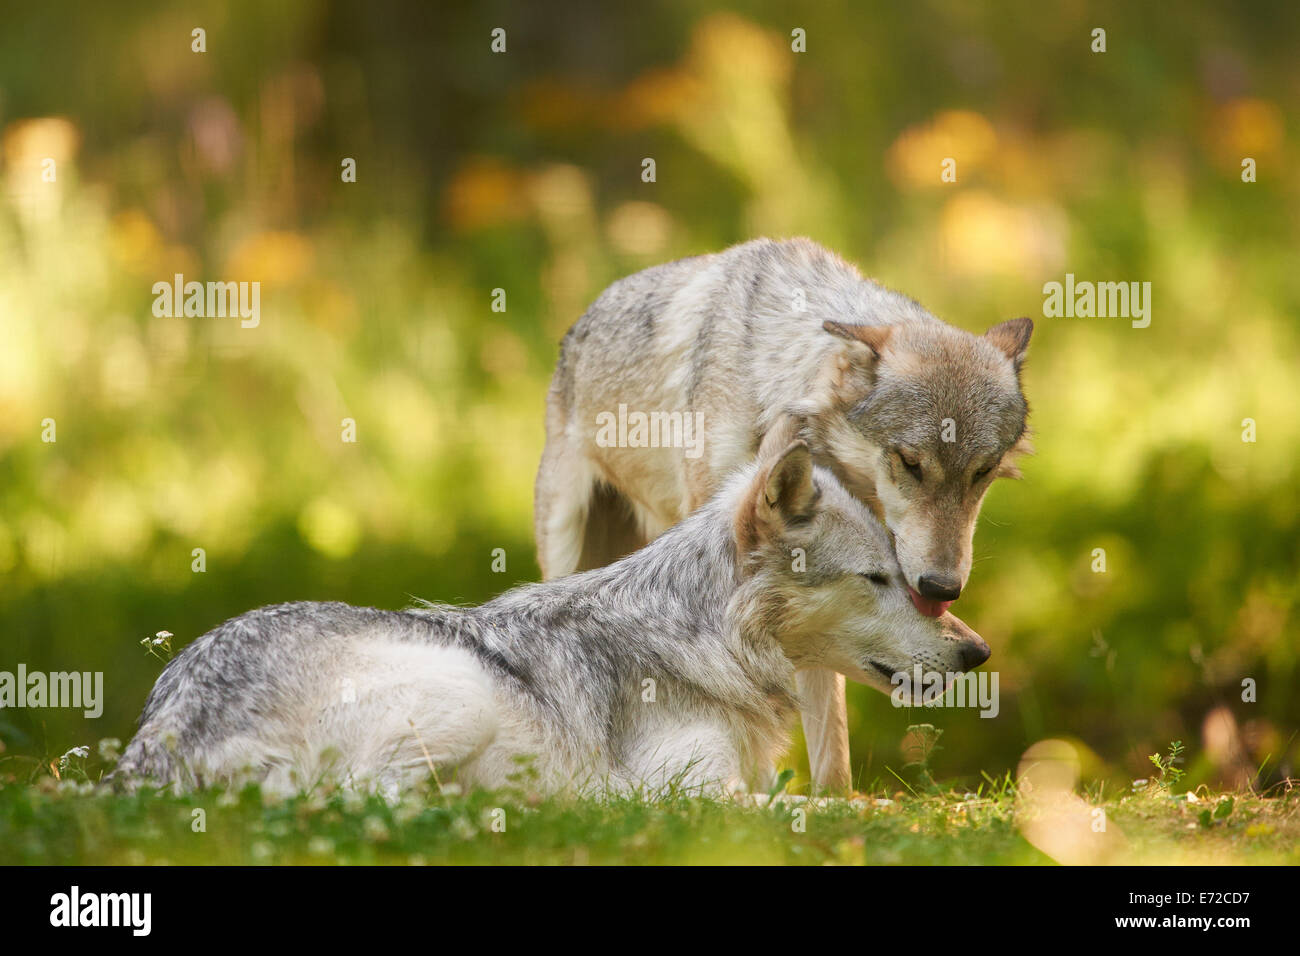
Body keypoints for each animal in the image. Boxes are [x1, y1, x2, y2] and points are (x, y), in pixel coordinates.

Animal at [114, 437, 982, 796]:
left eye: (909, 577)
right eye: (876, 578)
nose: (977, 652)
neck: (703, 642)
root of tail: (163, 734)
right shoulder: (692, 787)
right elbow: (815, 807)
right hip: (458, 693)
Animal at [533, 235, 1029, 790]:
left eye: (983, 472)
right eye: (910, 463)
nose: (942, 588)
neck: (774, 386)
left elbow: (830, 727)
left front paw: (833, 799)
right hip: (566, 543)